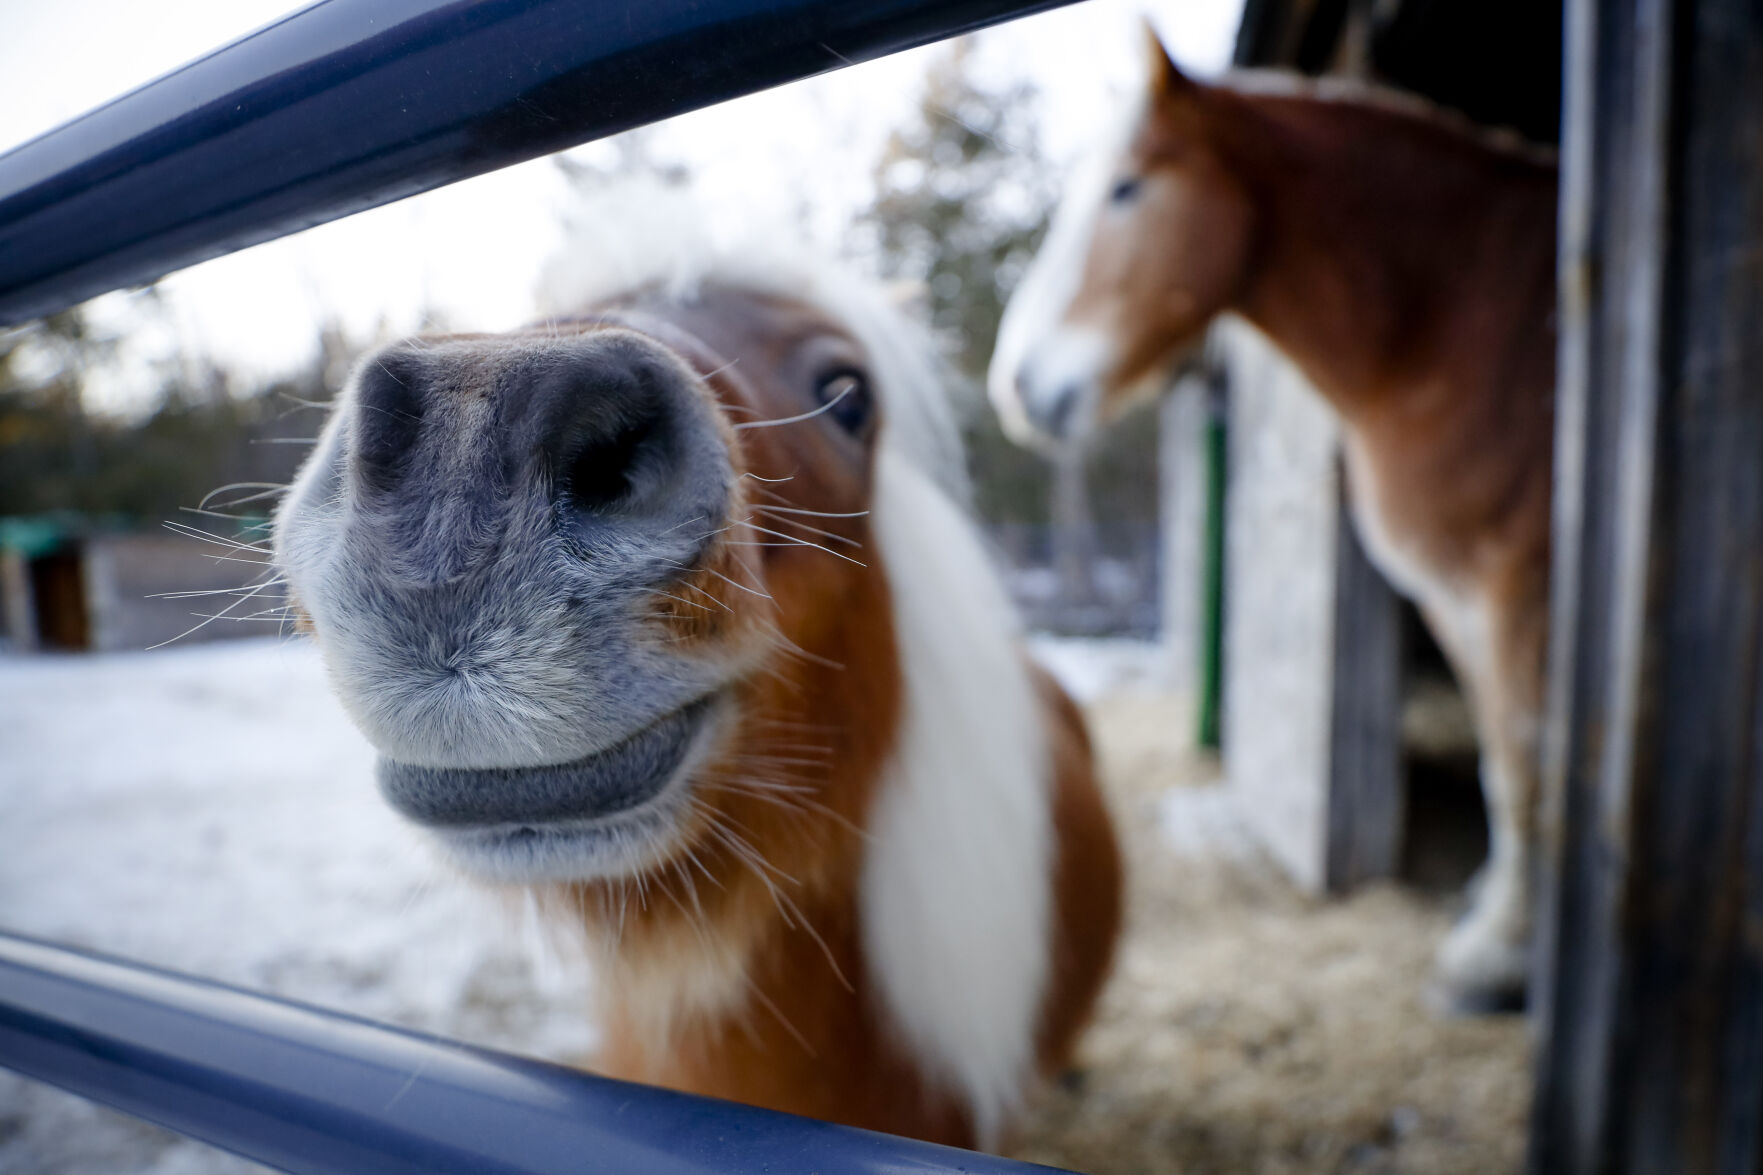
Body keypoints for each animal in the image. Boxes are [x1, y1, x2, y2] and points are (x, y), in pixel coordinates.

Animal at [987, 28, 1557, 1015]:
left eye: (1126, 188)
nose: (1013, 385)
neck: (1461, 322)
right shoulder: (1451, 595)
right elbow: (1500, 752)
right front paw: (1493, 917)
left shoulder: (1514, 585)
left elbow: (1520, 757)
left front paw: (1497, 958)